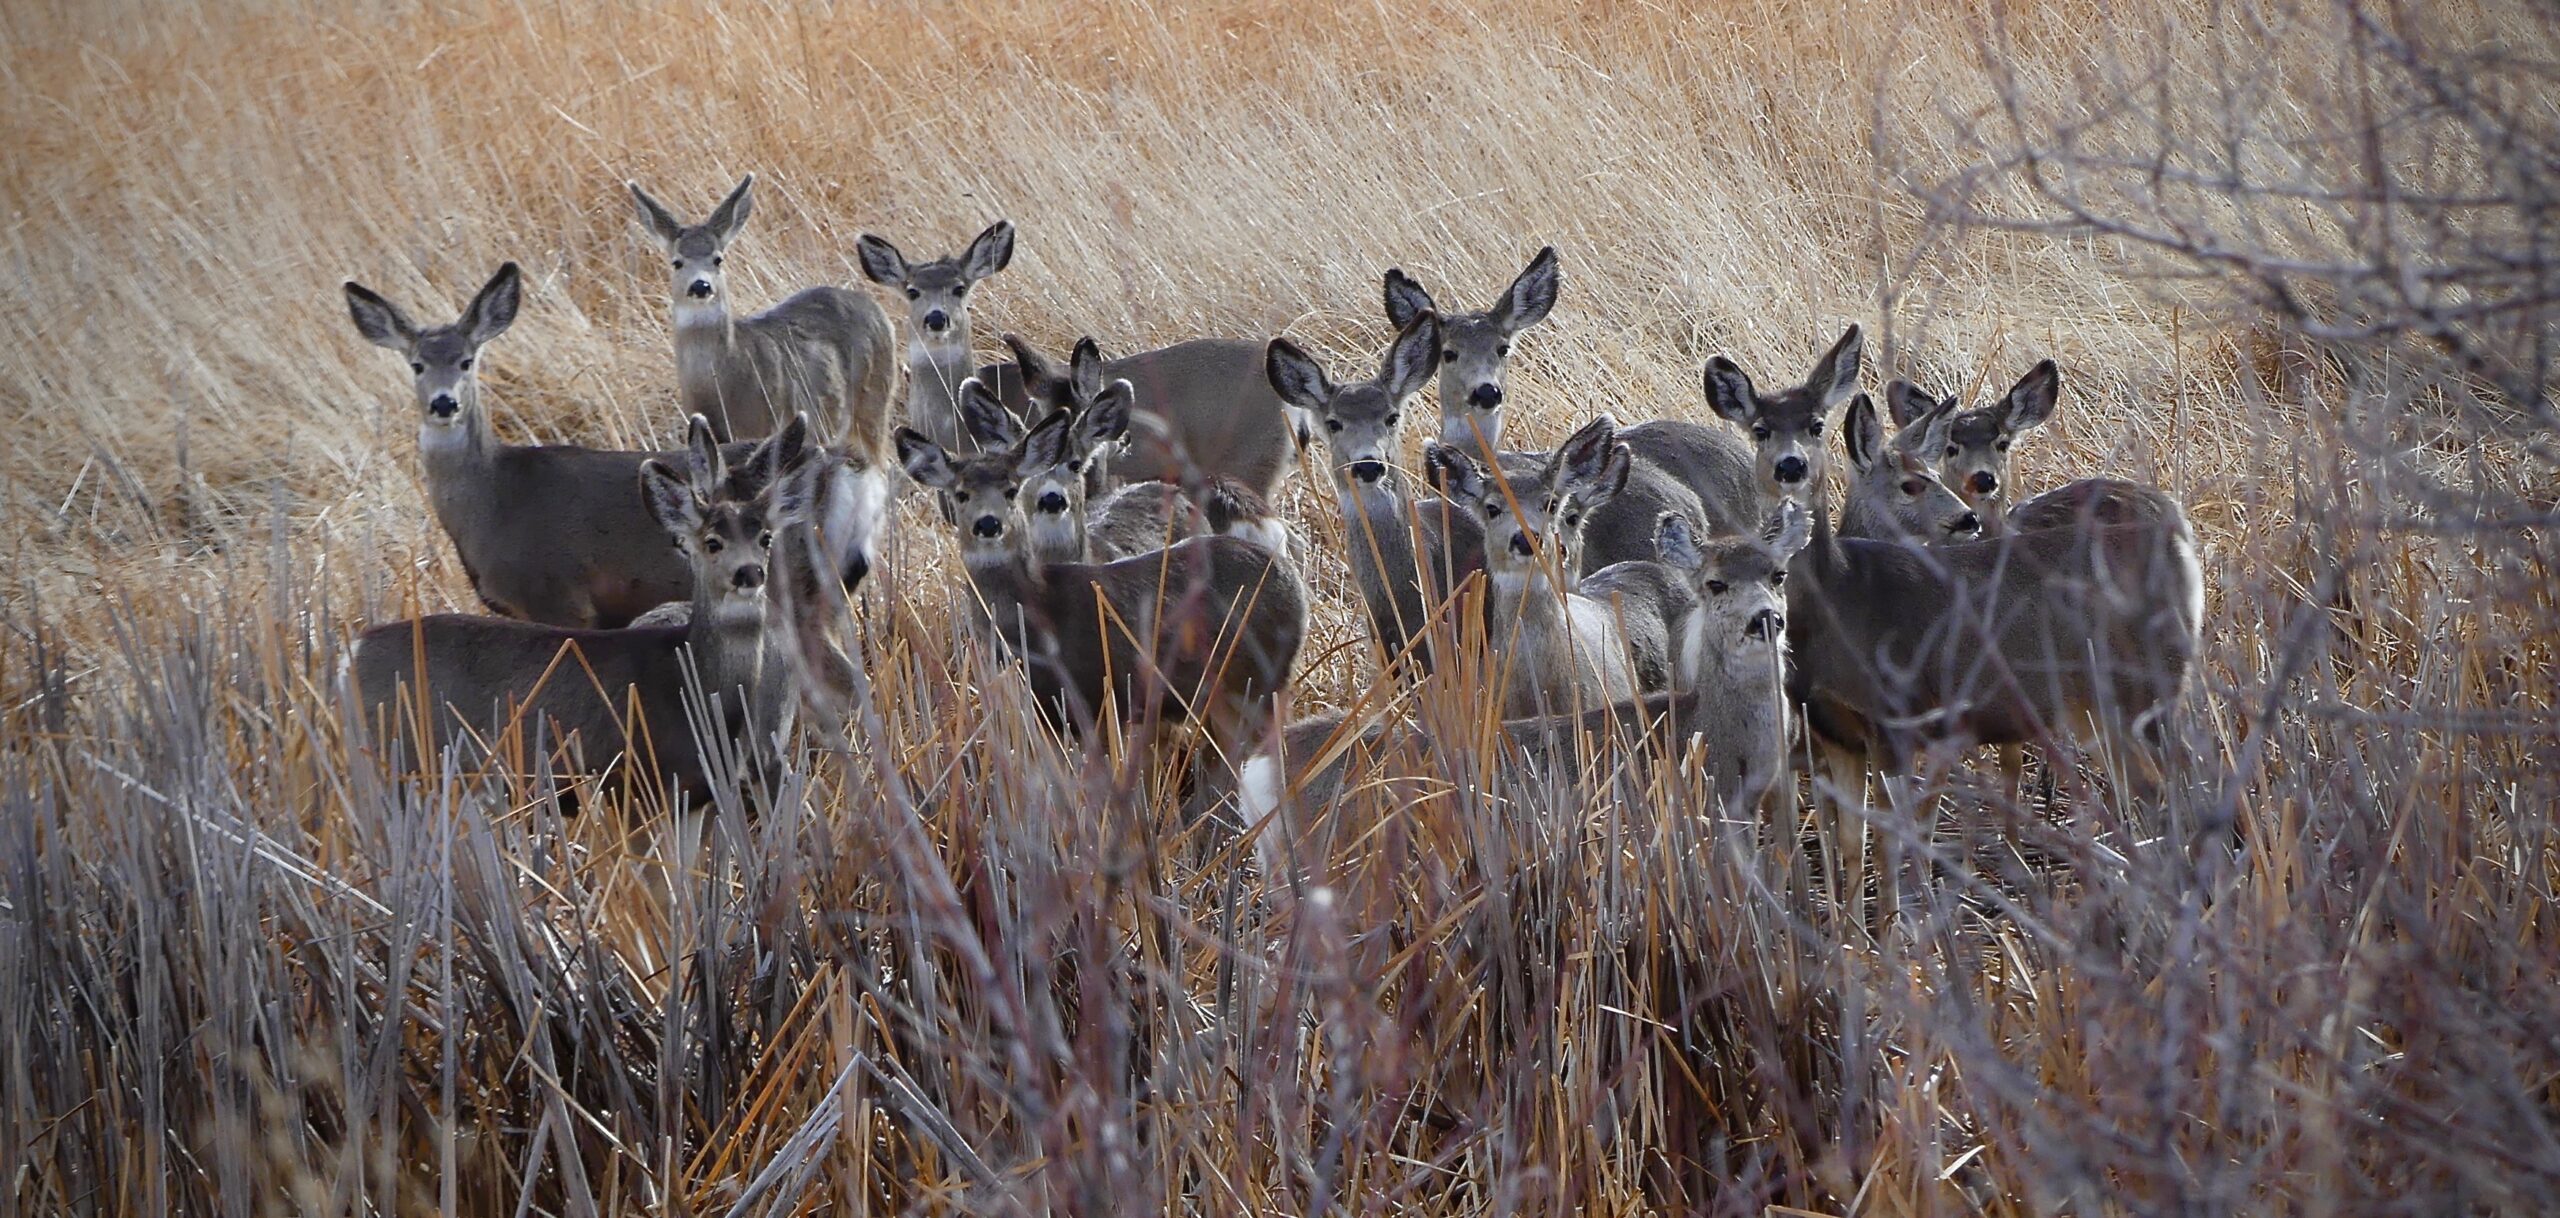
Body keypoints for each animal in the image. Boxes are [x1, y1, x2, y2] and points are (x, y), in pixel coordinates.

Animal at [629, 174, 901, 450]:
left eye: (718, 259)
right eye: (677, 262)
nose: (700, 285)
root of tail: (877, 310)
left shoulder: (763, 424)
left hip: (875, 396)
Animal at [896, 414, 1300, 747]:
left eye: (1011, 489)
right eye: (961, 493)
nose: (988, 524)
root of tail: (1293, 584)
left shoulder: (1097, 698)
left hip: (1256, 683)